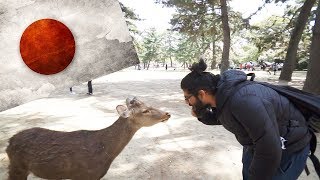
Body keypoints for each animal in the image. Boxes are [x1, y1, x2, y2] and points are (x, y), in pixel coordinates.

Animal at [5, 97, 170, 179]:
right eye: (145, 110)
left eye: (148, 104)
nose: (167, 113)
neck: (106, 154)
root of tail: (8, 143)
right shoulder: (86, 175)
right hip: (17, 166)